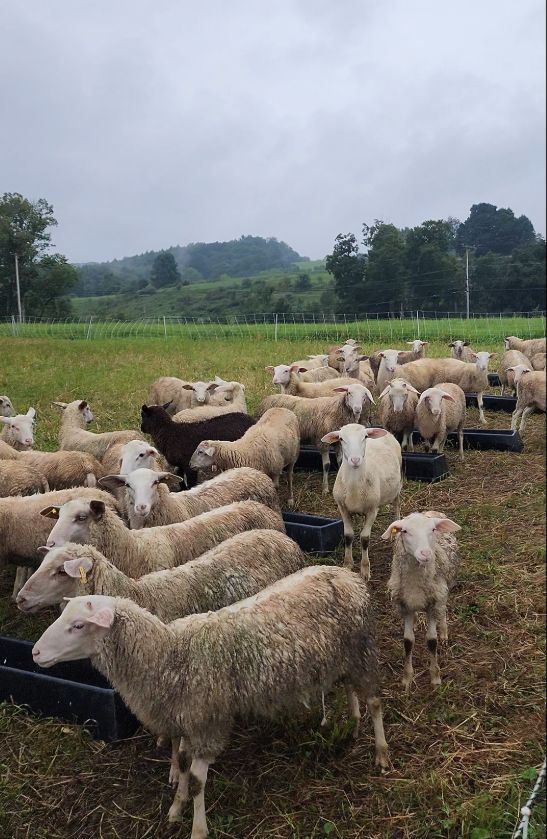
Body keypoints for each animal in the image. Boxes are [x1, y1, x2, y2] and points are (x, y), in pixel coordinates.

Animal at [32, 566, 389, 835]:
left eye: (78, 625)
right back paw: (352, 722)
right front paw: (176, 808)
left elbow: (197, 781)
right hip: (342, 655)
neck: (169, 655)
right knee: (349, 687)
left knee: (374, 701)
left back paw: (381, 753)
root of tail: (346, 574)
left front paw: (197, 828)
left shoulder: (207, 724)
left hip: (363, 648)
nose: (35, 653)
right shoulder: (186, 721)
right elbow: (182, 764)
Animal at [321, 424, 402, 580]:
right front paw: (347, 564)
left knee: (397, 505)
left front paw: (365, 570)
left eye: (365, 437)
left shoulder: (372, 510)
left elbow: (364, 538)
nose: (355, 460)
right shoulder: (342, 508)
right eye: (341, 438)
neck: (354, 487)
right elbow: (348, 535)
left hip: (398, 485)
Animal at [382, 511, 461, 690]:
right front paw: (407, 679)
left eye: (432, 529)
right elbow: (408, 641)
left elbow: (432, 641)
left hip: (443, 590)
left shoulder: (433, 603)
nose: (425, 553)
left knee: (443, 610)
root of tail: (430, 511)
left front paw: (435, 678)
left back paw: (444, 633)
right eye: (404, 531)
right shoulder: (405, 606)